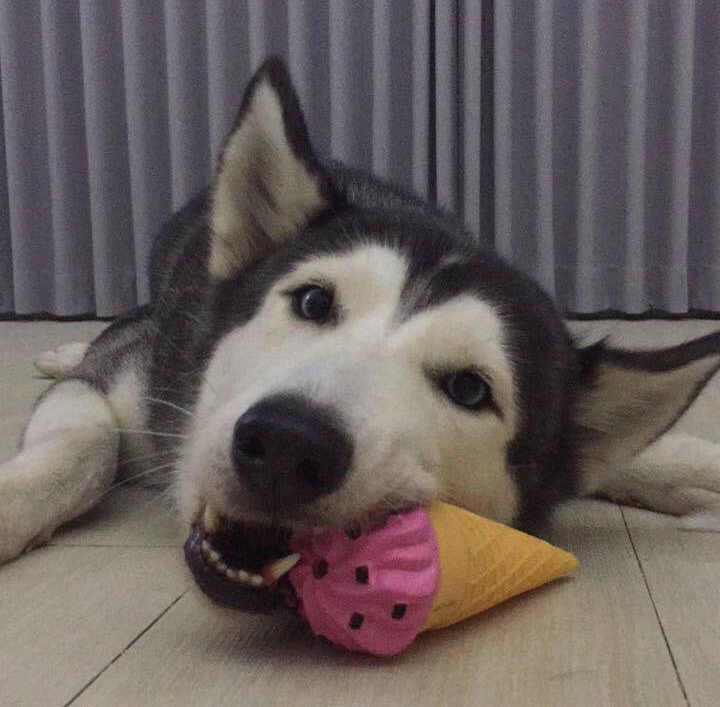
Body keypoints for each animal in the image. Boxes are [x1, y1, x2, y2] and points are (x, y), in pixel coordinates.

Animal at [2, 57, 720, 612]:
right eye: (314, 301)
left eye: (469, 389)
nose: (287, 443)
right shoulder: (133, 387)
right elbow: (87, 444)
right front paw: (13, 506)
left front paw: (686, 469)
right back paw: (64, 349)